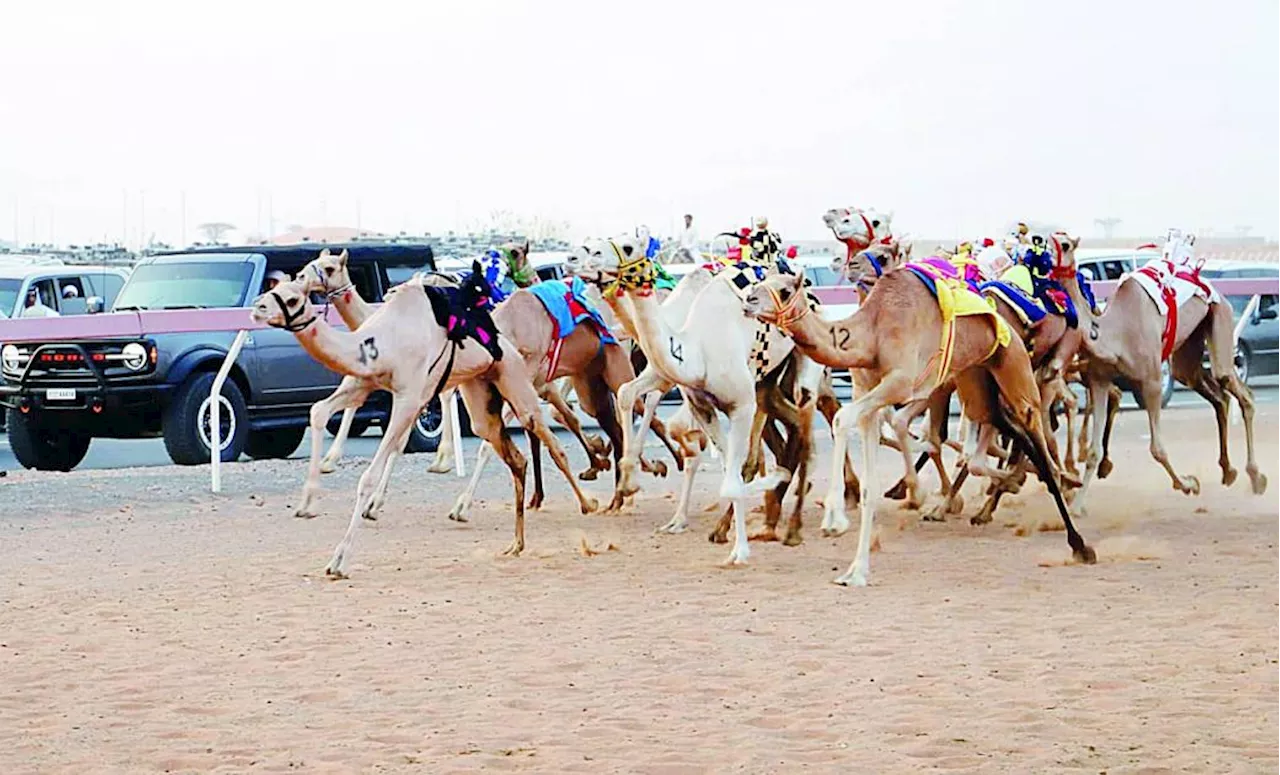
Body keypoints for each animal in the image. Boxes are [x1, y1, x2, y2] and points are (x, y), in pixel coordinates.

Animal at [250, 269, 599, 576]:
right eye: (273, 289)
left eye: (293, 298)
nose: (257, 307)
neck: (381, 341)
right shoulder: (362, 383)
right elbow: (318, 411)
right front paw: (307, 501)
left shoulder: (409, 397)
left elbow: (370, 475)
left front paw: (339, 560)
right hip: (479, 392)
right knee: (512, 453)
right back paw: (515, 542)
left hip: (514, 373)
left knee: (545, 432)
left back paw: (589, 501)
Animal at [747, 260, 1095, 586]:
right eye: (760, 282)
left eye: (785, 290)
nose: (748, 299)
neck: (872, 332)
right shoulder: (868, 396)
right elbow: (869, 484)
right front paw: (856, 572)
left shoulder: (900, 382)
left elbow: (843, 419)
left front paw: (835, 520)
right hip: (975, 379)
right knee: (1003, 426)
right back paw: (1015, 483)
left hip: (1014, 363)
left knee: (1034, 427)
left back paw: (1078, 539)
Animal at [1044, 229, 1264, 517]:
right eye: (1043, 239)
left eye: (1065, 244)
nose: (1043, 256)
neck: (1114, 333)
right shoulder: (1099, 380)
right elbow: (1093, 451)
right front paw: (1077, 506)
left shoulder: (1152, 380)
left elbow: (1157, 449)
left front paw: (1189, 484)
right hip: (1188, 353)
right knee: (1217, 395)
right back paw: (1228, 471)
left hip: (1219, 316)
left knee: (1235, 386)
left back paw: (1256, 477)